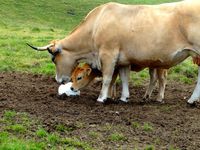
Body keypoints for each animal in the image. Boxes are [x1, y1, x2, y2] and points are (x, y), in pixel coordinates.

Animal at [27, 0, 200, 104]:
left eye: (53, 59)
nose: (59, 80)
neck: (96, 24)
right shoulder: (123, 60)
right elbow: (124, 78)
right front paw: (124, 97)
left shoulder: (108, 55)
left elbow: (107, 78)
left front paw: (102, 97)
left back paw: (191, 100)